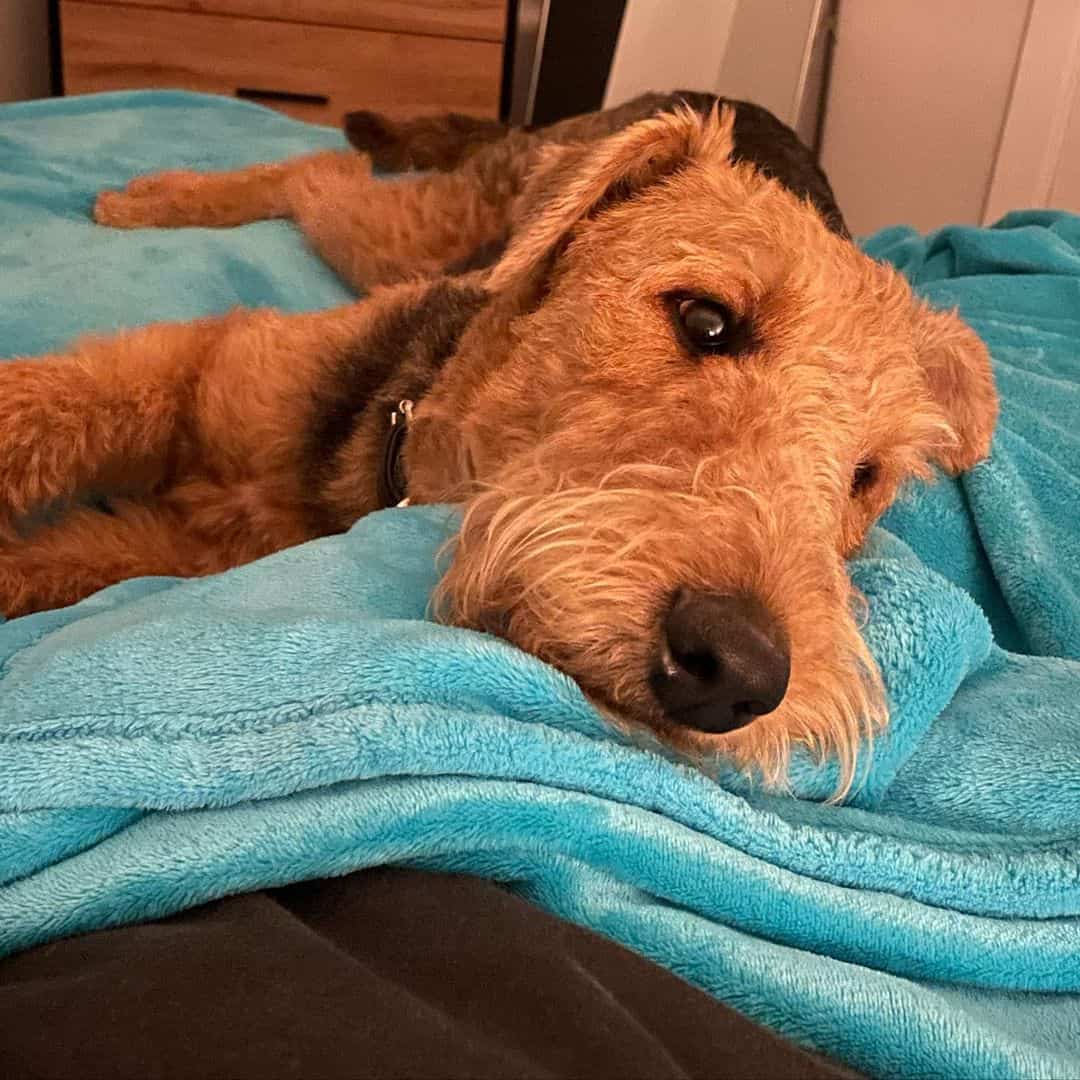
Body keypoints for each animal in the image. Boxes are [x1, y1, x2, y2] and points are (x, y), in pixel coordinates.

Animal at [0, 92, 993, 790]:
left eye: (867, 476)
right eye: (707, 319)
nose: (737, 673)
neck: (396, 454)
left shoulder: (178, 546)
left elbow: (49, 557)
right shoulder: (201, 363)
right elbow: (49, 404)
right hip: (420, 232)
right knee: (322, 170)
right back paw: (149, 199)